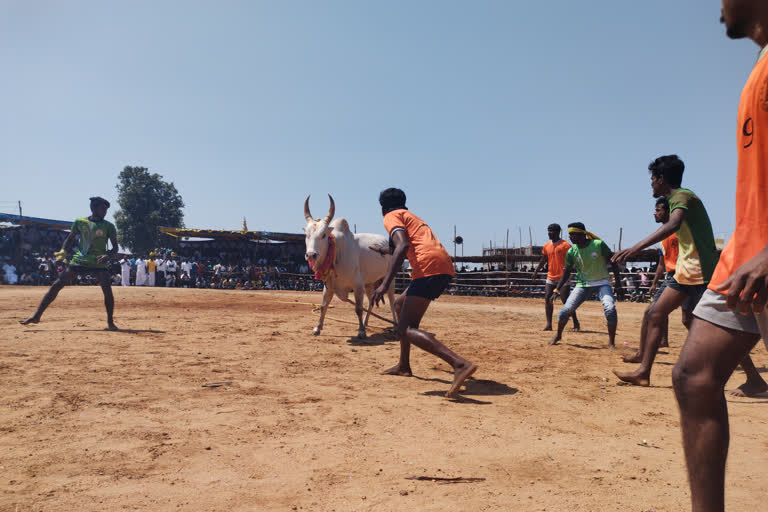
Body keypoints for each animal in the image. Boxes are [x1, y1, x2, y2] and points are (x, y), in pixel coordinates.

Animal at [304, 194, 396, 338]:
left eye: (323, 235)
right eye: (307, 235)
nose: (311, 255)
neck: (336, 252)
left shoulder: (358, 286)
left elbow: (358, 308)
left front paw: (361, 331)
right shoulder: (328, 286)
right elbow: (324, 306)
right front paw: (317, 328)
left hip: (390, 280)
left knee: (392, 302)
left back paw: (395, 325)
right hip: (370, 284)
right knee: (371, 301)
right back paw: (366, 322)